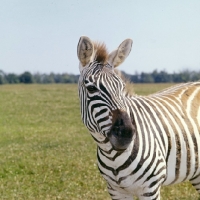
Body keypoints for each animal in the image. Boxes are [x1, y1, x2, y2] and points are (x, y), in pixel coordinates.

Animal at [76, 35, 200, 199]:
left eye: (122, 87)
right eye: (91, 88)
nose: (126, 133)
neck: (112, 155)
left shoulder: (150, 189)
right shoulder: (116, 190)